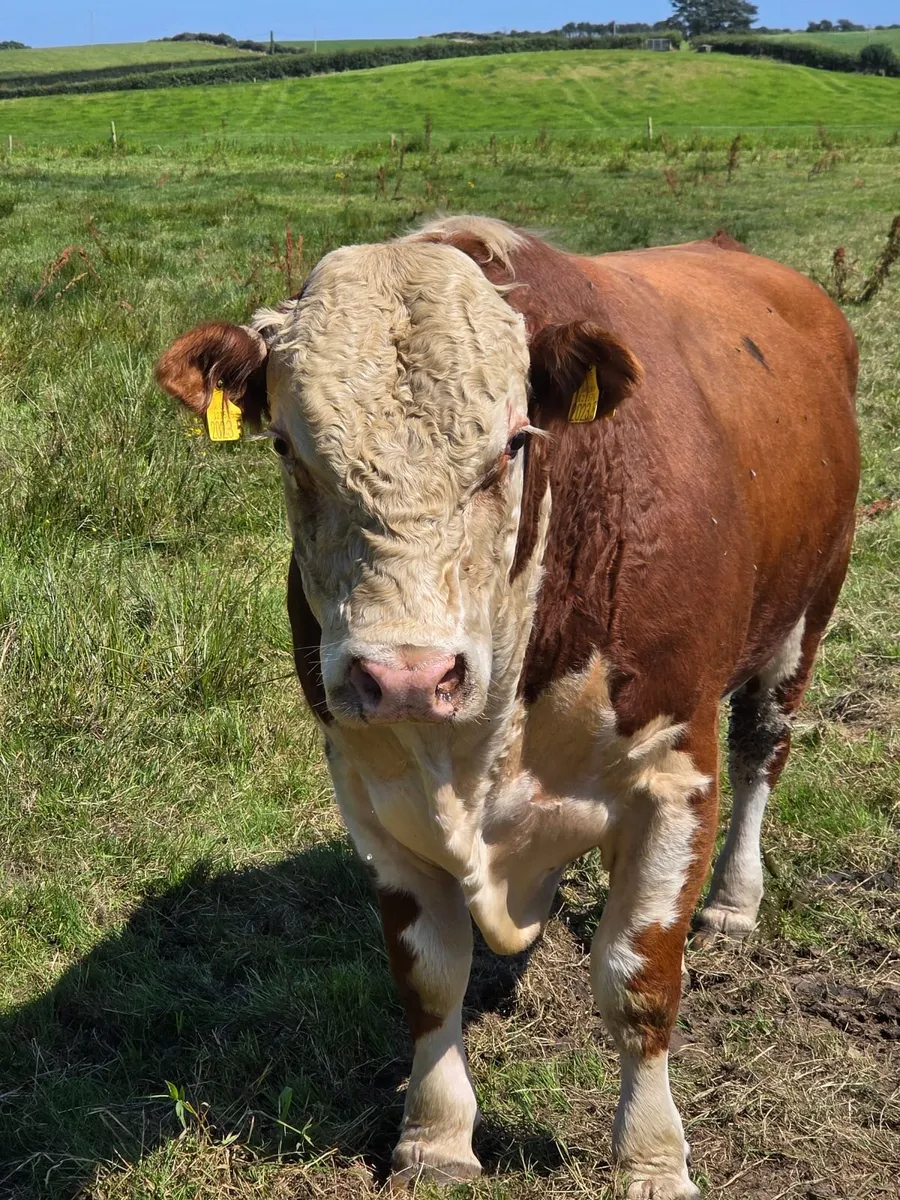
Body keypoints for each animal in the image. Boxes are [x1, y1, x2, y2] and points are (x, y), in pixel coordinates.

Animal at [156, 216, 860, 1198]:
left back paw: (734, 900)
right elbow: (428, 977)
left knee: (766, 747)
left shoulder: (676, 770)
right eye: (289, 450)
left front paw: (653, 1156)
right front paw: (436, 1138)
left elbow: (639, 977)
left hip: (807, 613)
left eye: (514, 445)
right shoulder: (371, 790)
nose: (408, 676)